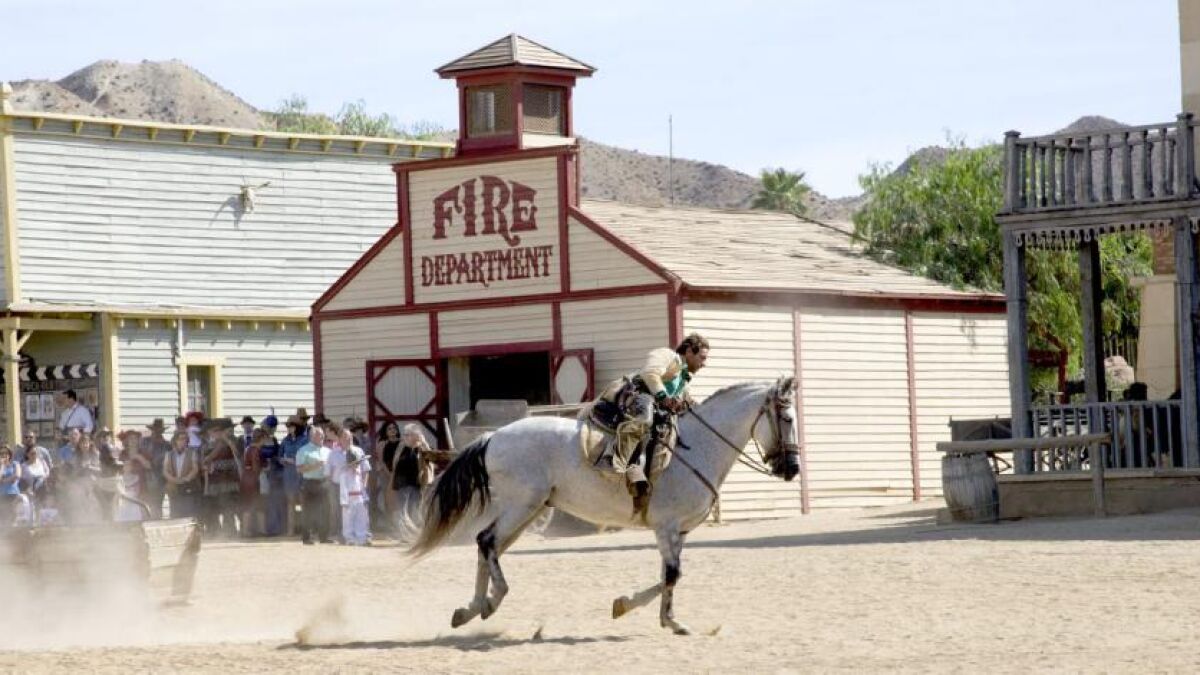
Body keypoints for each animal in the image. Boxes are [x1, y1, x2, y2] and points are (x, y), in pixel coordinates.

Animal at [410, 376, 801, 635]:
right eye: (787, 418)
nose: (792, 468)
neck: (697, 446)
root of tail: (493, 436)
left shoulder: (679, 531)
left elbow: (669, 575)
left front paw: (655, 615)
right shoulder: (666, 527)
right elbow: (672, 574)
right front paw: (655, 615)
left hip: (528, 511)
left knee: (487, 546)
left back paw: (470, 609)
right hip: (521, 507)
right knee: (486, 542)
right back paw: (491, 602)